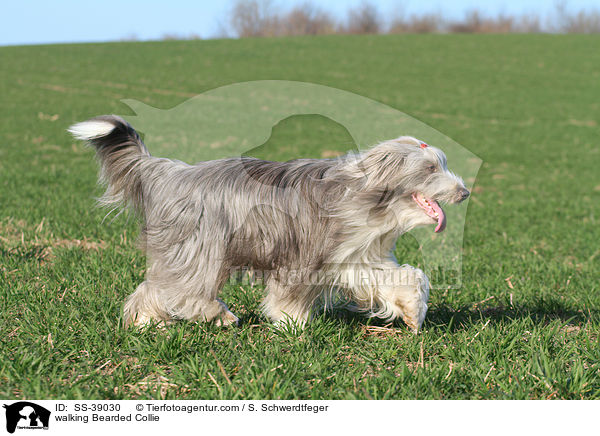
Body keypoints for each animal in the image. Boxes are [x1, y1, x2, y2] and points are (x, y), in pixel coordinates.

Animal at [70, 114, 468, 332]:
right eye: (430, 168)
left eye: (442, 164)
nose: (464, 192)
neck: (367, 196)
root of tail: (172, 172)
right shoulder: (304, 257)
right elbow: (288, 297)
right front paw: (292, 324)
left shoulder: (356, 256)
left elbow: (406, 278)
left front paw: (414, 312)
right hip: (200, 249)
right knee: (177, 289)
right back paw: (202, 316)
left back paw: (153, 320)